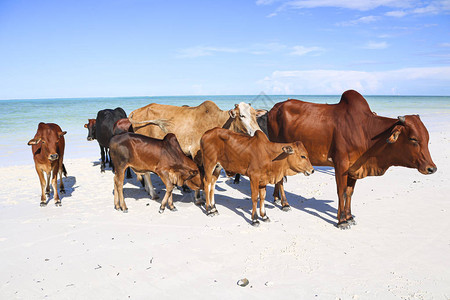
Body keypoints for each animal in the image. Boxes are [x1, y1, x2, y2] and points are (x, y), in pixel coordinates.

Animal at [268, 90, 436, 229]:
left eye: (427, 138)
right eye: (413, 139)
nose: (432, 168)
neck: (365, 131)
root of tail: (274, 108)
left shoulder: (354, 168)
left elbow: (349, 192)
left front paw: (349, 217)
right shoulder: (340, 165)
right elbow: (341, 191)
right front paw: (342, 221)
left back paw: (276, 198)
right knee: (281, 179)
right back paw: (285, 203)